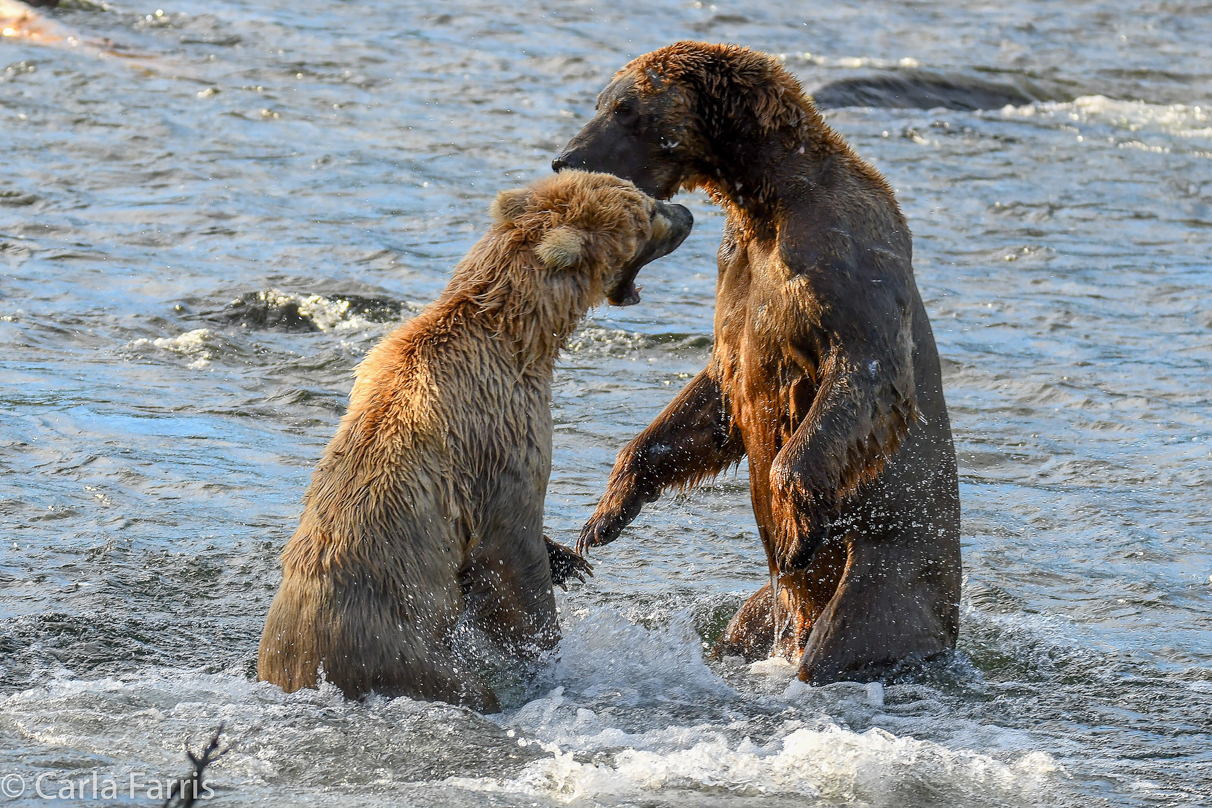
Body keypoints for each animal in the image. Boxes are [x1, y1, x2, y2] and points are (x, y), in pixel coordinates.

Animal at [254, 169, 693, 707]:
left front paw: (568, 559)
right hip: (410, 657)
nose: (686, 214)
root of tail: (296, 670)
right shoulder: (502, 435)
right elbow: (512, 554)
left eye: (641, 196)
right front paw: (546, 642)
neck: (519, 338)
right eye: (645, 212)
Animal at [557, 39, 964, 683]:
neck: (767, 199)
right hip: (768, 608)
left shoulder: (839, 256)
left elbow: (865, 369)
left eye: (625, 108)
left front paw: (794, 525)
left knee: (849, 637)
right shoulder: (738, 273)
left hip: (886, 577)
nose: (565, 158)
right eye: (602, 101)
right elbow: (715, 395)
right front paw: (603, 517)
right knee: (742, 624)